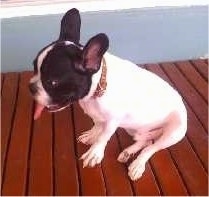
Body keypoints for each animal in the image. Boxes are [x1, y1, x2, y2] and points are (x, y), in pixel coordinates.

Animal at [28, 8, 187, 180]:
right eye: (34, 67)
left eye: (52, 82)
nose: (31, 87)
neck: (98, 87)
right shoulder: (97, 115)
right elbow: (97, 125)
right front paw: (92, 135)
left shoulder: (113, 121)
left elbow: (104, 136)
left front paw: (95, 152)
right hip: (133, 128)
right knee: (146, 141)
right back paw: (128, 152)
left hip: (174, 132)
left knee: (152, 148)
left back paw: (138, 164)